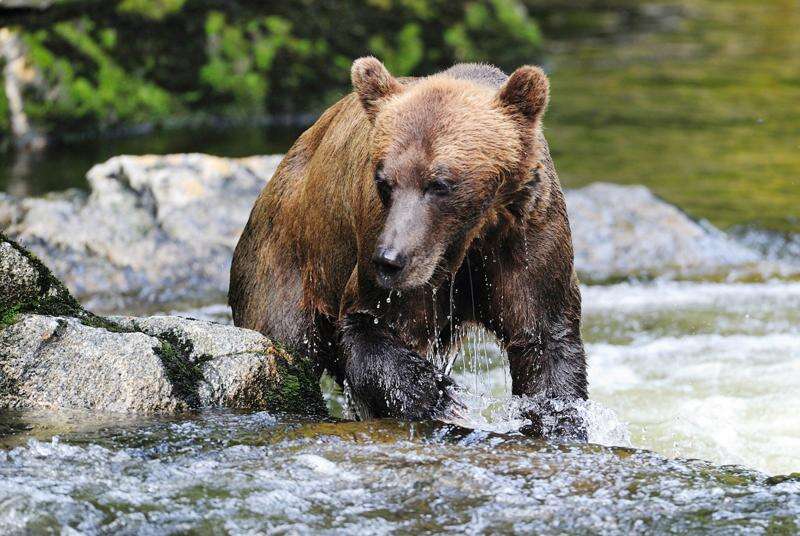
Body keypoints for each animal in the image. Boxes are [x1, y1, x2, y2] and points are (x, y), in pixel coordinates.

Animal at [231, 55, 588, 440]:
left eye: (440, 183)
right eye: (384, 181)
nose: (390, 260)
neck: (467, 239)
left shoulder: (524, 235)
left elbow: (543, 340)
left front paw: (558, 423)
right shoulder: (382, 239)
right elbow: (368, 324)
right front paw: (438, 394)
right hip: (286, 263)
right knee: (286, 342)